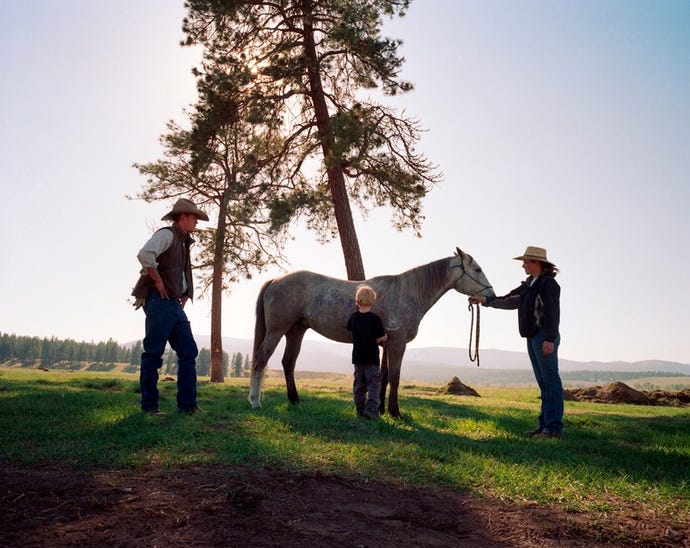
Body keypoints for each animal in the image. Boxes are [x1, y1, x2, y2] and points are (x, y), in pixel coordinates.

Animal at [245, 246, 492, 418]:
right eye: (477, 269)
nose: (490, 295)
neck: (405, 293)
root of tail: (276, 280)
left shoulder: (386, 344)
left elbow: (383, 377)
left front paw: (381, 410)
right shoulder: (397, 343)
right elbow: (395, 377)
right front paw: (395, 412)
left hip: (295, 331)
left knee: (288, 363)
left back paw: (295, 400)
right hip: (277, 330)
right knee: (261, 360)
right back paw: (255, 401)